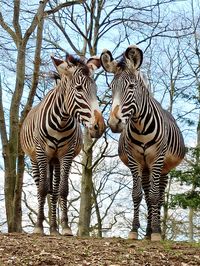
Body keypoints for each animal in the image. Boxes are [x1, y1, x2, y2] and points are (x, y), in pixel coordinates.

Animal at [19, 53, 106, 235]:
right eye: (79, 89)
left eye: (95, 90)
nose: (99, 126)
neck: (61, 122)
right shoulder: (41, 152)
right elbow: (42, 189)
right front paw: (38, 227)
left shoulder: (66, 154)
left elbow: (63, 190)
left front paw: (65, 227)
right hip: (36, 159)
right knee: (41, 188)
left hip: (55, 161)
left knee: (54, 191)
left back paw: (54, 229)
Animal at [101, 45, 185, 241]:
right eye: (111, 87)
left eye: (131, 86)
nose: (114, 123)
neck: (141, 129)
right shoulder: (135, 161)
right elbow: (137, 195)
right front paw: (134, 230)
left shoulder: (157, 160)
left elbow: (155, 197)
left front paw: (156, 232)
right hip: (146, 169)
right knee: (147, 194)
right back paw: (146, 232)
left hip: (164, 169)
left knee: (159, 196)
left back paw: (155, 230)